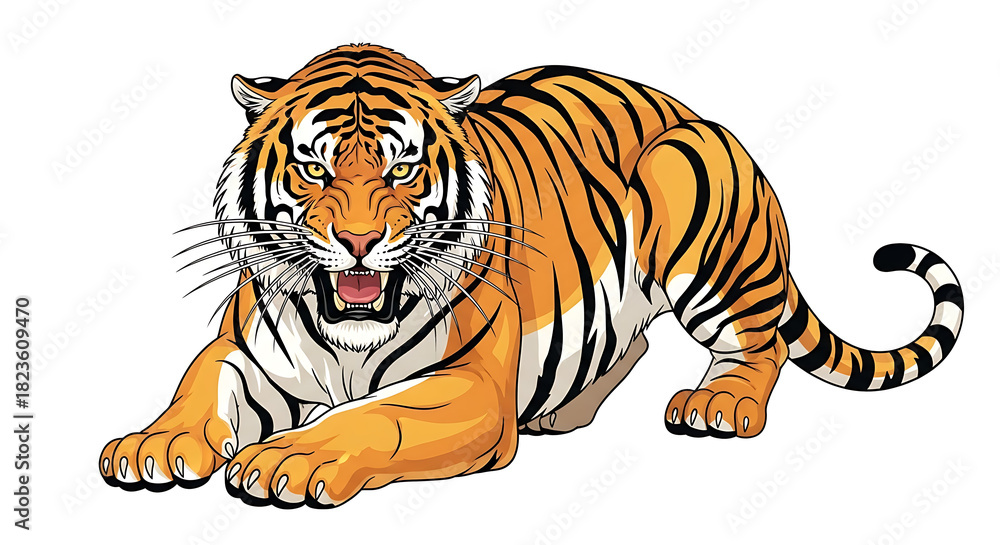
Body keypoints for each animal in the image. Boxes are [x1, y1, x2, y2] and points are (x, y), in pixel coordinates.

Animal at [99, 44, 964, 508]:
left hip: (690, 194)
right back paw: (562, 409)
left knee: (760, 343)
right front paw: (152, 444)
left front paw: (289, 459)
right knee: (633, 342)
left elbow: (375, 416)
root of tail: (694, 112)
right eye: (313, 168)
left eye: (403, 168)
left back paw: (718, 404)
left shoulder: (469, 382)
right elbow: (197, 385)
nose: (358, 239)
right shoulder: (245, 350)